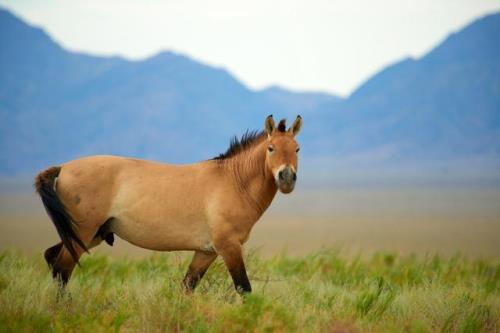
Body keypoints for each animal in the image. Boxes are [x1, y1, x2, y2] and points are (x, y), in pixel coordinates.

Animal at [35, 115, 302, 294]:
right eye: (271, 148)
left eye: (297, 149)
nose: (287, 178)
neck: (232, 181)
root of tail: (63, 168)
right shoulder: (229, 247)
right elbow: (244, 288)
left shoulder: (206, 252)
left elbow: (188, 287)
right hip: (83, 233)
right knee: (62, 270)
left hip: (90, 234)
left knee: (52, 259)